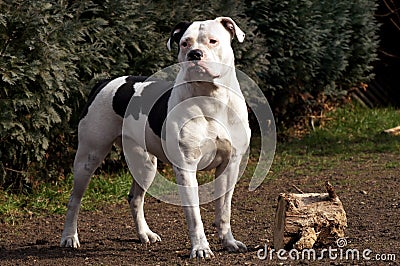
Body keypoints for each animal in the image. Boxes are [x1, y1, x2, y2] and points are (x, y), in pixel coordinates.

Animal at [59, 16, 250, 258]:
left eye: (213, 41)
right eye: (184, 43)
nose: (195, 54)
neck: (211, 97)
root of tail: (104, 83)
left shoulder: (230, 165)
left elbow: (225, 210)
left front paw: (228, 241)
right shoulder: (186, 169)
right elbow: (194, 216)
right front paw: (200, 248)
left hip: (144, 163)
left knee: (135, 198)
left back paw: (145, 234)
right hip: (88, 156)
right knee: (75, 199)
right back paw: (69, 237)